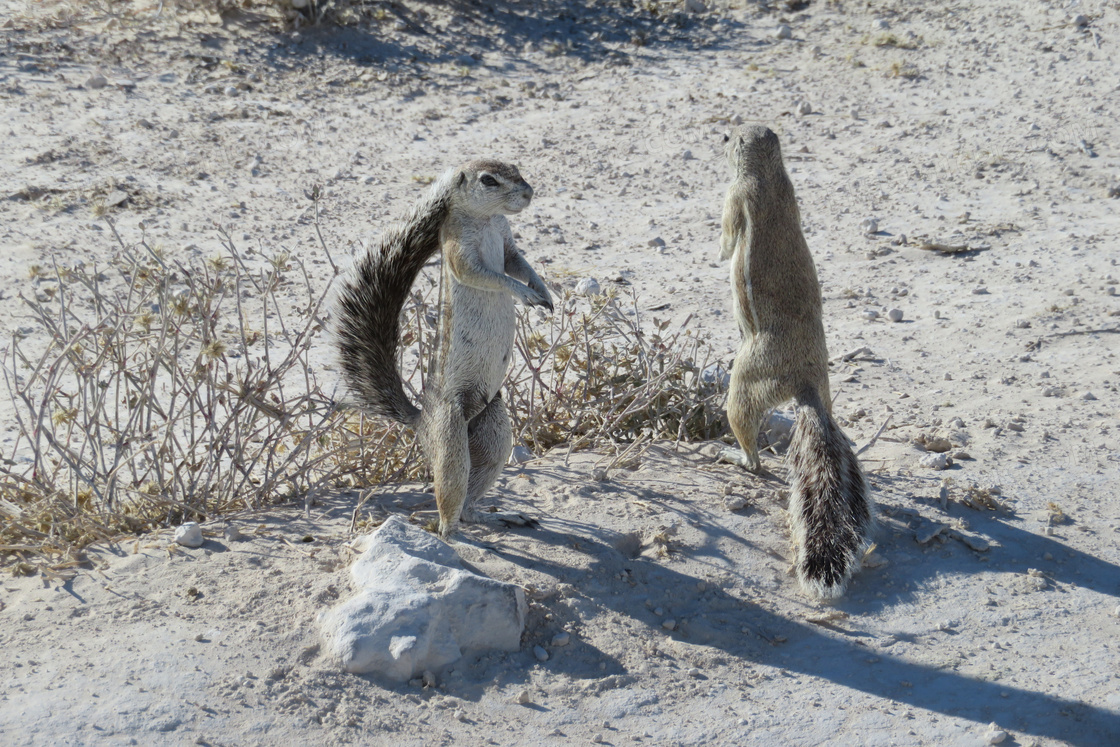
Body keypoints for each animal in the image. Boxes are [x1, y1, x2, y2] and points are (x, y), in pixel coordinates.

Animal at [333, 162, 557, 537]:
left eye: (516, 168)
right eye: (489, 180)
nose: (529, 193)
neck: (488, 220)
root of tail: (421, 420)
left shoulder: (508, 243)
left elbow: (519, 263)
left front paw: (543, 290)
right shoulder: (458, 250)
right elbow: (491, 275)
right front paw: (524, 293)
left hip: (494, 432)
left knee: (470, 501)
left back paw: (497, 517)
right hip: (451, 435)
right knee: (449, 503)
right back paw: (454, 534)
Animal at [716, 125, 873, 600]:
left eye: (731, 135)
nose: (720, 137)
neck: (770, 173)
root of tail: (806, 385)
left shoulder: (736, 196)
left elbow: (726, 240)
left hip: (746, 380)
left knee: (751, 446)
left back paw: (733, 456)